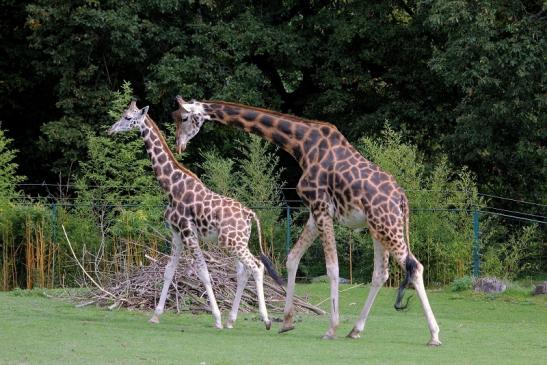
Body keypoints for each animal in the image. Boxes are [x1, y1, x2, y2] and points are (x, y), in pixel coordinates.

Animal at [173, 96, 444, 344]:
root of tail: (402, 198)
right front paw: (287, 322)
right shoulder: (315, 212)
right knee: (381, 273)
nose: (179, 145)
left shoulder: (321, 207)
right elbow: (292, 258)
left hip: (388, 225)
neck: (301, 145)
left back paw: (434, 335)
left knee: (415, 267)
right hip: (377, 228)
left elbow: (332, 267)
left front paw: (330, 328)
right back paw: (355, 330)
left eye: (184, 118)